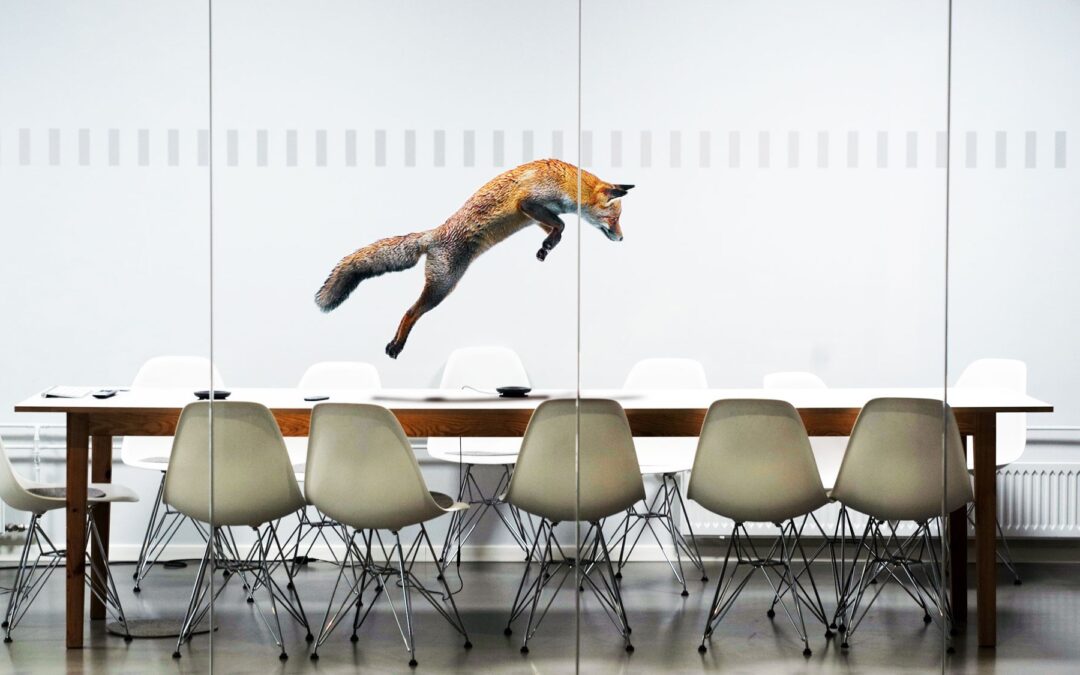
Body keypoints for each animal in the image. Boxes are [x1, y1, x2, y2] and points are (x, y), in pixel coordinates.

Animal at [315, 158, 633, 358]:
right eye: (615, 219)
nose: (622, 239)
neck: (568, 183)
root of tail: (434, 234)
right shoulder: (528, 203)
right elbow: (563, 225)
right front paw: (548, 244)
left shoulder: (535, 214)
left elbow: (557, 229)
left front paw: (546, 247)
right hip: (442, 287)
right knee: (409, 312)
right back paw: (397, 345)